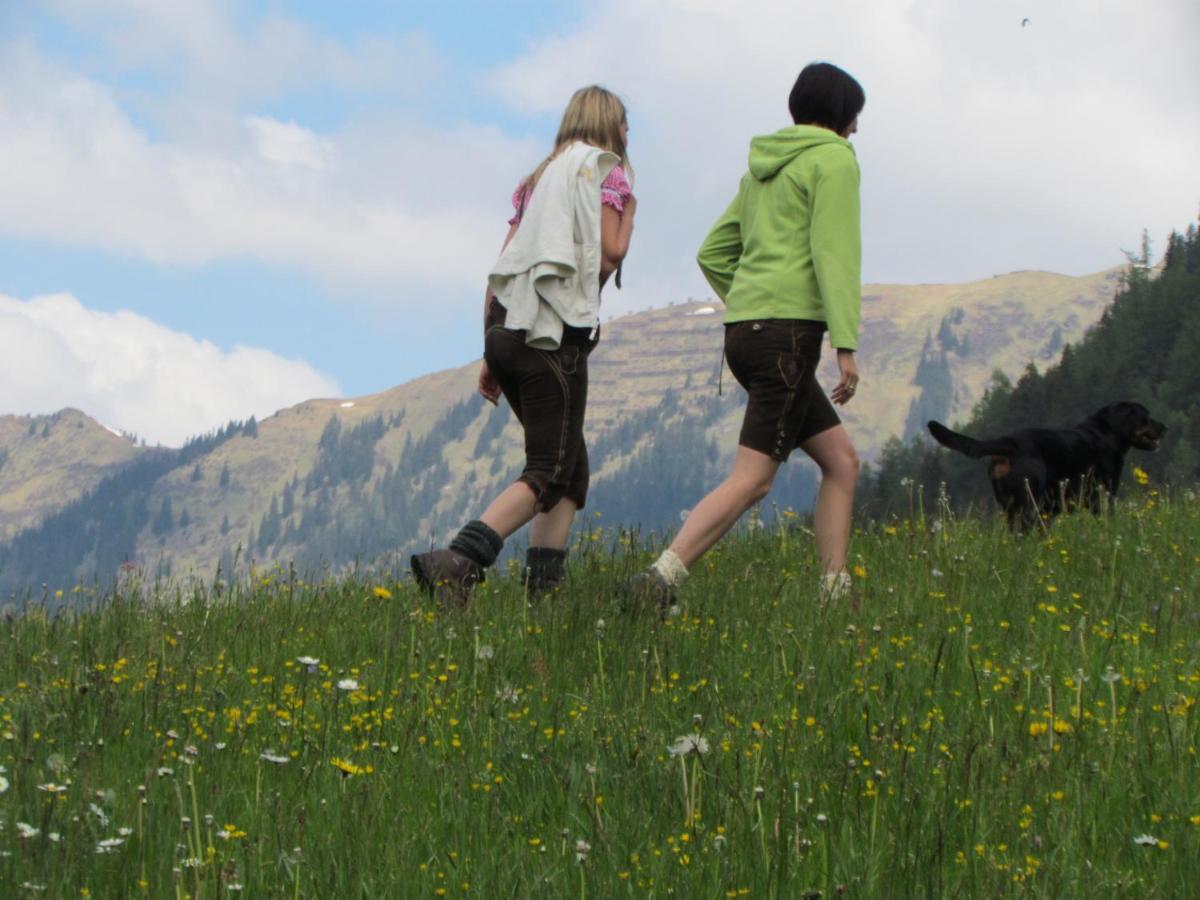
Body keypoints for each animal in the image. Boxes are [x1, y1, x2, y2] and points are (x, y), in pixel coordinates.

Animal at [926, 400, 1161, 528]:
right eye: (1146, 417)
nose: (1165, 427)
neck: (1106, 431)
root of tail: (1009, 442)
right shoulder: (1104, 491)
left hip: (1012, 506)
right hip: (1029, 503)